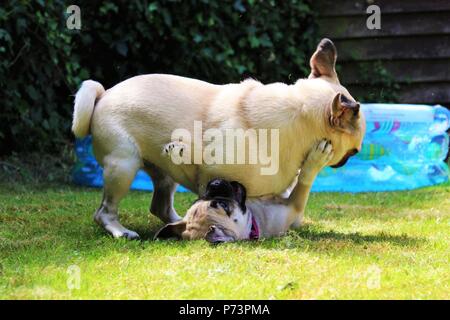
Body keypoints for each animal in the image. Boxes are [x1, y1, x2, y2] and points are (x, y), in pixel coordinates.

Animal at [155, 139, 334, 242]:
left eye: (198, 200)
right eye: (223, 206)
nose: (215, 183)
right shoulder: (295, 206)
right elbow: (304, 179)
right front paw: (317, 158)